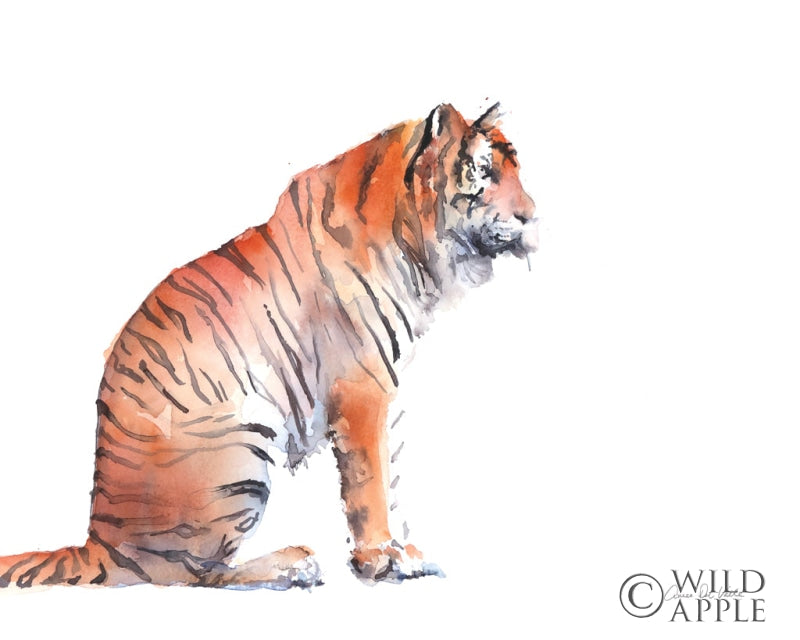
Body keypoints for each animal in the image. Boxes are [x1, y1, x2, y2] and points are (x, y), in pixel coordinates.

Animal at [0, 102, 538, 589]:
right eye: (483, 173)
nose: (534, 217)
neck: (415, 245)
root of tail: (98, 539)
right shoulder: (364, 390)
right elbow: (372, 483)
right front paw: (385, 559)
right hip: (243, 440)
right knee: (185, 572)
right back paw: (294, 564)